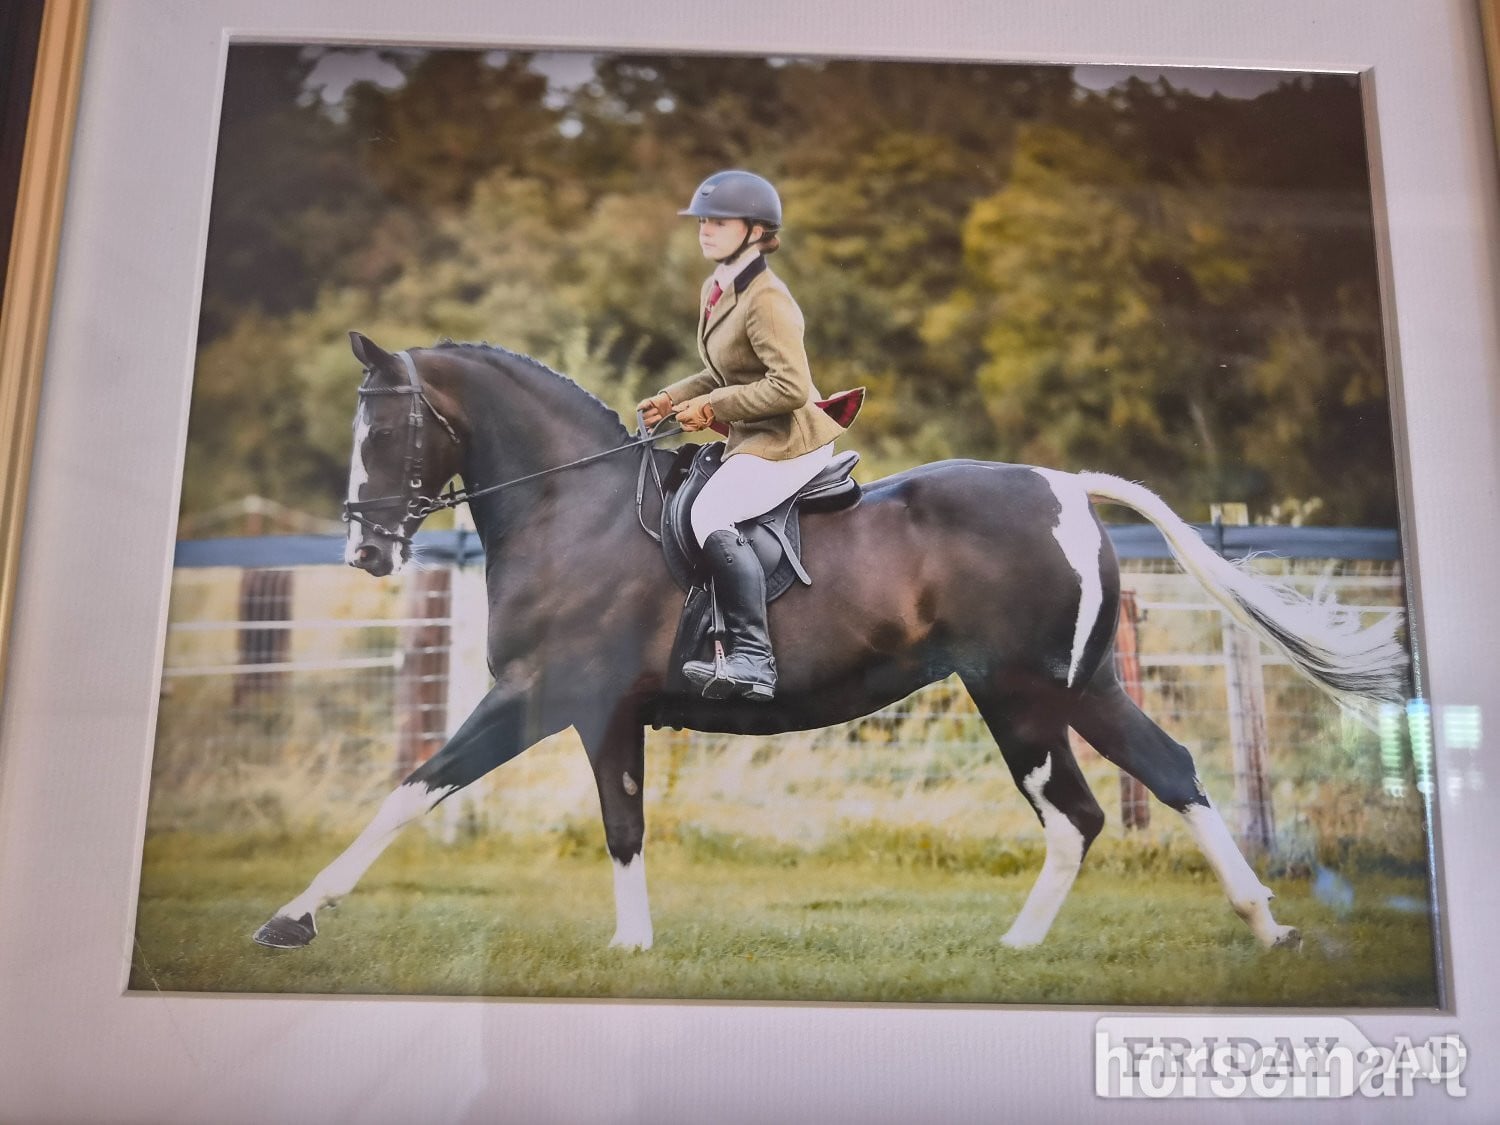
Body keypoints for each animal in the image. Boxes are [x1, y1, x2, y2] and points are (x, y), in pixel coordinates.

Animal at [253, 331, 1407, 954]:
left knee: (1089, 805)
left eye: (389, 430)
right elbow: (599, 821)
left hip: (1027, 691)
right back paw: (1225, 928)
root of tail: (1067, 486)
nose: (365, 549)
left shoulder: (547, 698)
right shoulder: (587, 714)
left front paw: (294, 917)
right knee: (1143, 781)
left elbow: (425, 792)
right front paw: (634, 943)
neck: (570, 509)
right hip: (1063, 688)